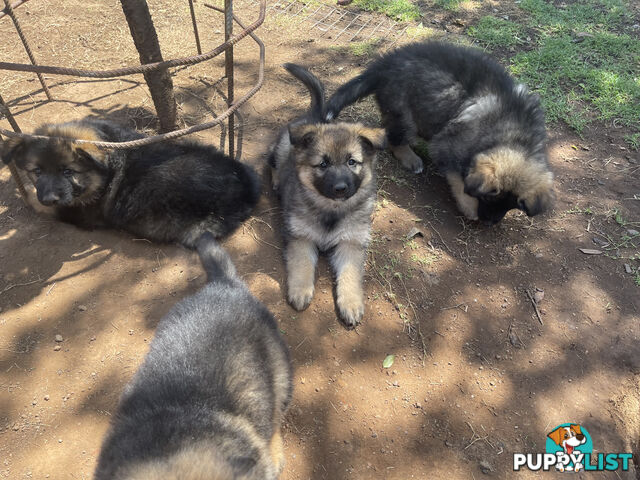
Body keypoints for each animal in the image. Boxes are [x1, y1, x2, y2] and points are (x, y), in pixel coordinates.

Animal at [0, 120, 260, 248]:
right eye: (37, 171)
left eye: (68, 172)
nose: (48, 198)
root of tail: (244, 187)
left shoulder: (75, 212)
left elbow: (36, 202)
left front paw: (26, 197)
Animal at [270, 64, 384, 326]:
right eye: (323, 164)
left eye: (352, 162)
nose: (340, 188)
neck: (331, 210)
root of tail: (315, 116)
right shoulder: (300, 237)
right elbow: (302, 263)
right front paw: (300, 290)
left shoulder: (351, 243)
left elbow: (350, 274)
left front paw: (351, 303)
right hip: (280, 149)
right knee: (272, 164)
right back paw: (276, 182)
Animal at [328, 40, 552, 224]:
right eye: (487, 197)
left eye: (511, 205)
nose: (490, 224)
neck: (513, 134)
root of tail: (385, 64)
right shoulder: (448, 146)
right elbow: (459, 181)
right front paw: (469, 208)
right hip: (404, 112)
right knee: (395, 138)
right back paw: (411, 158)